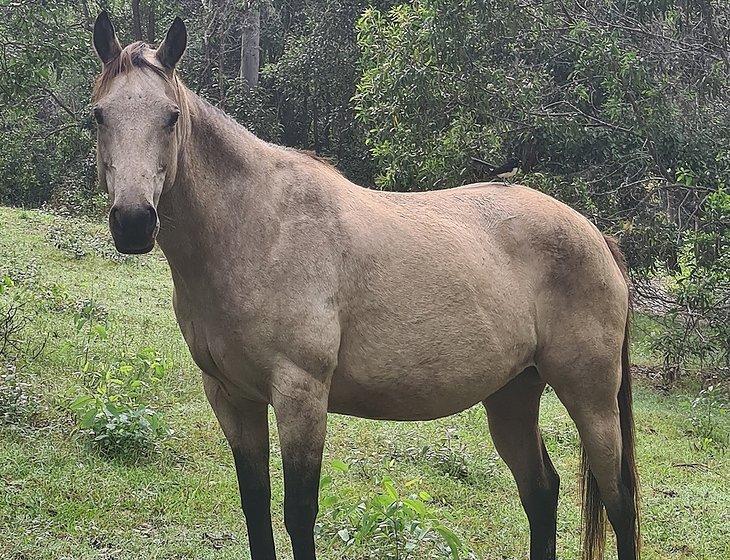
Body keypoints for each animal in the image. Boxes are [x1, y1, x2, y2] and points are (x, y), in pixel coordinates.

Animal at [89, 12, 636, 560]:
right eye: (98, 115)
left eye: (170, 117)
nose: (134, 222)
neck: (258, 229)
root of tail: (597, 236)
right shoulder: (232, 397)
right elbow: (256, 508)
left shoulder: (301, 394)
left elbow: (298, 514)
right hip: (513, 395)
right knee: (542, 492)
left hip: (590, 398)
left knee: (620, 503)